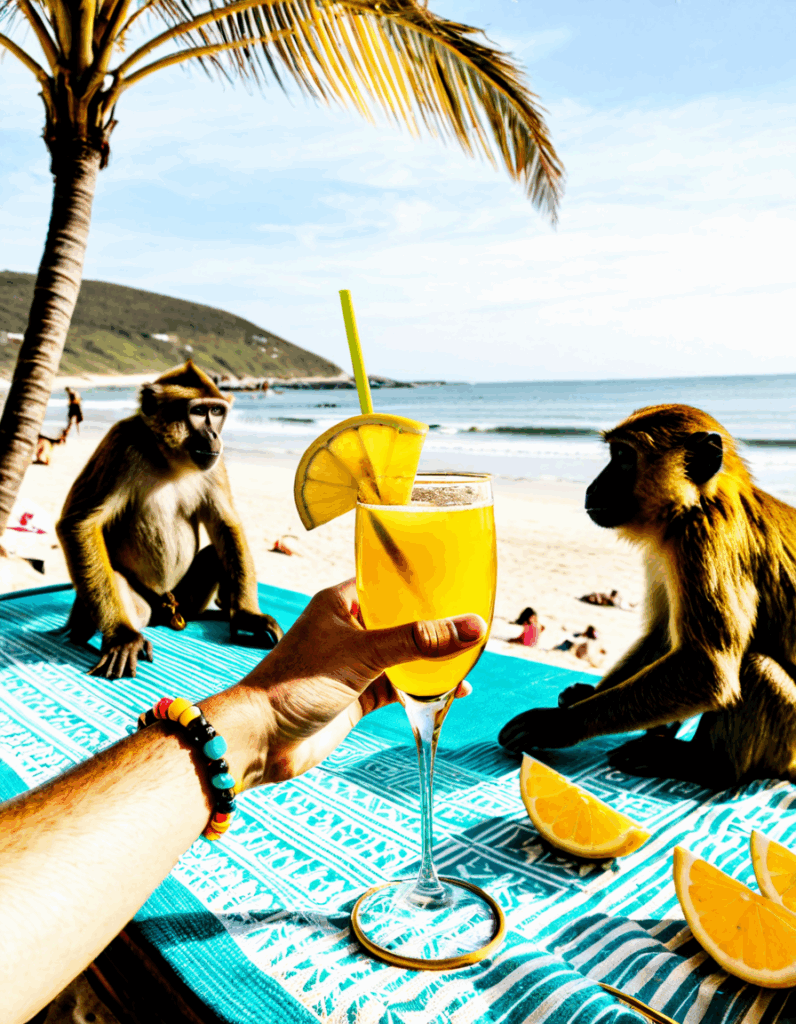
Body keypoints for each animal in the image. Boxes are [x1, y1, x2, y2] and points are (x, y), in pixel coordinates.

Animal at [57, 361, 283, 679]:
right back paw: (96, 630)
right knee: (119, 582)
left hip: (185, 599)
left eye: (217, 411)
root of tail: (166, 606)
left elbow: (226, 524)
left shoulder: (215, 463)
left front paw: (247, 616)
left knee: (215, 553)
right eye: (198, 412)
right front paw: (120, 636)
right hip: (146, 604)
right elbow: (79, 524)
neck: (168, 457)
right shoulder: (121, 445)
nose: (214, 435)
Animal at [499, 403, 796, 789]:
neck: (700, 502)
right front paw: (588, 695)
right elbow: (664, 638)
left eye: (623, 457)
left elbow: (706, 668)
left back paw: (706, 764)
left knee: (758, 667)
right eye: (614, 454)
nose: (592, 488)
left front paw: (558, 724)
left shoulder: (704, 538)